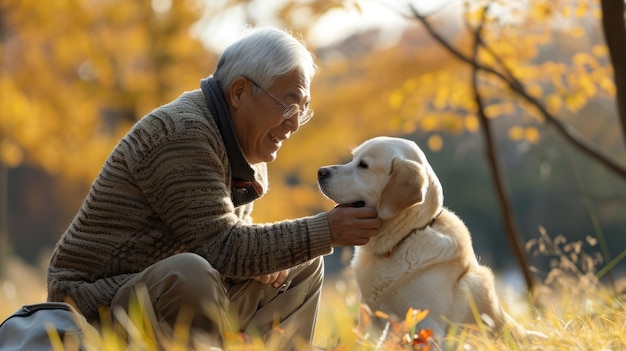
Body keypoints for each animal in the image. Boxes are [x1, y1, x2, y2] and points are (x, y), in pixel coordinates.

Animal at [316, 137, 532, 338]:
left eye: (363, 165)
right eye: (353, 159)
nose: (320, 171)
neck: (401, 240)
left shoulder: (428, 323)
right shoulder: (368, 321)